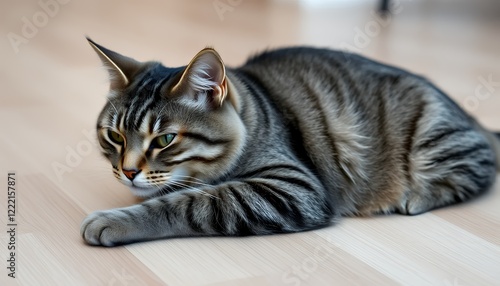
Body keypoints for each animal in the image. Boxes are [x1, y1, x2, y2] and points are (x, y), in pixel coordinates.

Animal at [80, 38, 498, 247]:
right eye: (114, 136)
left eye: (165, 139)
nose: (128, 171)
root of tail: (473, 119)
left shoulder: (292, 186)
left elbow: (191, 202)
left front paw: (115, 220)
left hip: (433, 139)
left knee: (477, 170)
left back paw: (414, 197)